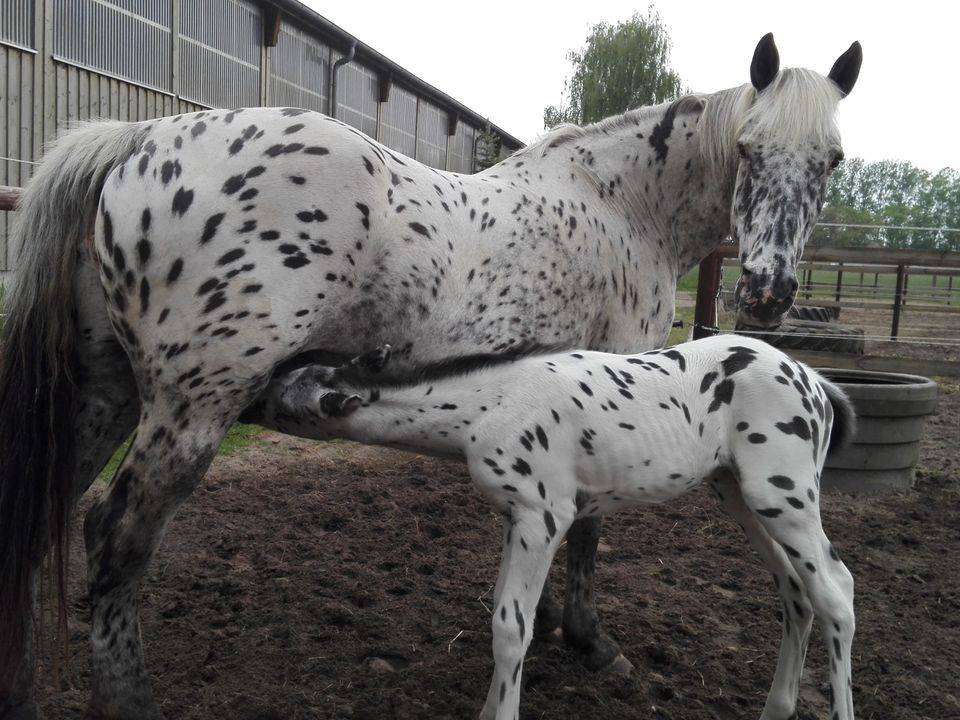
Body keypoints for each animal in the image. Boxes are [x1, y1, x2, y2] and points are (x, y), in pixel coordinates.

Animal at [244, 335, 858, 720]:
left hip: (784, 495)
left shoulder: (544, 516)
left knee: (837, 592)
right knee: (796, 592)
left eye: (283, 396)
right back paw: (775, 707)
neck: (489, 404)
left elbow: (511, 628)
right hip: (739, 494)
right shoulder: (514, 518)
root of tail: (818, 382)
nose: (247, 400)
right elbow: (503, 613)